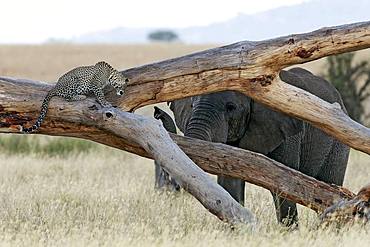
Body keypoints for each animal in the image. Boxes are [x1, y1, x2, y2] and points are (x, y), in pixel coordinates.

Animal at [168, 67, 350, 226]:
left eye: (231, 107)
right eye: (192, 105)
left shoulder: (288, 134)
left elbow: (284, 185)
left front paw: (288, 233)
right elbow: (230, 181)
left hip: (338, 145)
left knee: (330, 187)